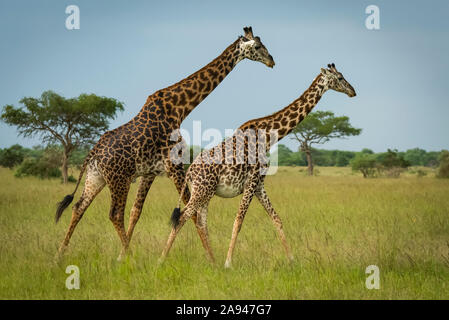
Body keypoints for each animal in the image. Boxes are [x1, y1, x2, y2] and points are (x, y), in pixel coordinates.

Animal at [54, 25, 274, 260]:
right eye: (257, 46)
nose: (272, 61)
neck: (179, 108)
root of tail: (92, 153)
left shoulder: (150, 172)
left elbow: (136, 212)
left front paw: (120, 256)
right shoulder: (174, 166)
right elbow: (191, 214)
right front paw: (212, 260)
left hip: (96, 177)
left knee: (79, 207)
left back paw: (60, 255)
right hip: (119, 179)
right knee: (114, 214)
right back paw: (131, 257)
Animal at [159, 63, 356, 268]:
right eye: (340, 78)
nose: (353, 91)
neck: (269, 136)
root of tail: (190, 172)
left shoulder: (259, 183)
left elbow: (276, 218)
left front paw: (292, 260)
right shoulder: (252, 181)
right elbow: (238, 221)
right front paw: (228, 263)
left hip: (206, 192)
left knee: (200, 222)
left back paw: (212, 262)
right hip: (202, 191)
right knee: (182, 218)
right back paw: (161, 260)